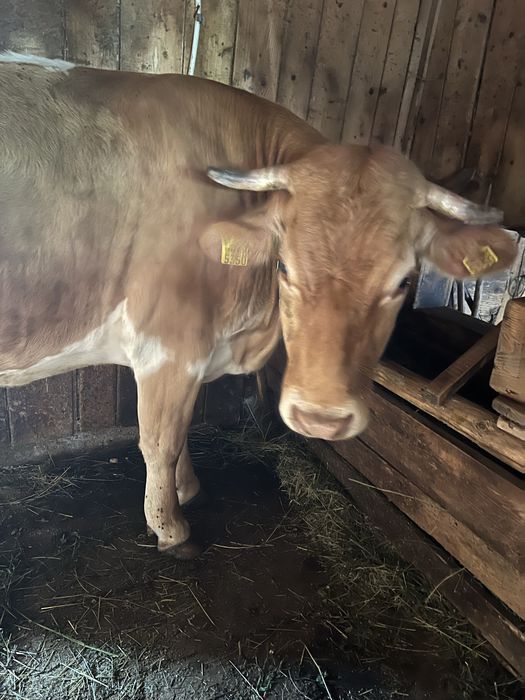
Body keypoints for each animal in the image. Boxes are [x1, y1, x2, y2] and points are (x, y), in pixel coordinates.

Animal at [0, 53, 517, 559]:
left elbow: (183, 431)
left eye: (405, 281)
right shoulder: (168, 346)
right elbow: (162, 440)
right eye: (283, 265)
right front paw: (171, 528)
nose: (320, 419)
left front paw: (187, 490)